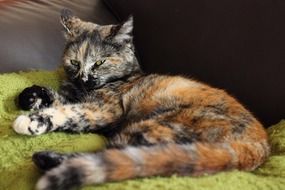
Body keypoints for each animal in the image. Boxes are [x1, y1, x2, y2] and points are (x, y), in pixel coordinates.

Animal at [11, 8, 268, 190]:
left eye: (99, 62)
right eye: (75, 62)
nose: (84, 79)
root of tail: (260, 145)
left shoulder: (104, 110)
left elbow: (72, 113)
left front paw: (33, 120)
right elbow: (57, 98)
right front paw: (29, 96)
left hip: (155, 127)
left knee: (116, 156)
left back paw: (46, 159)